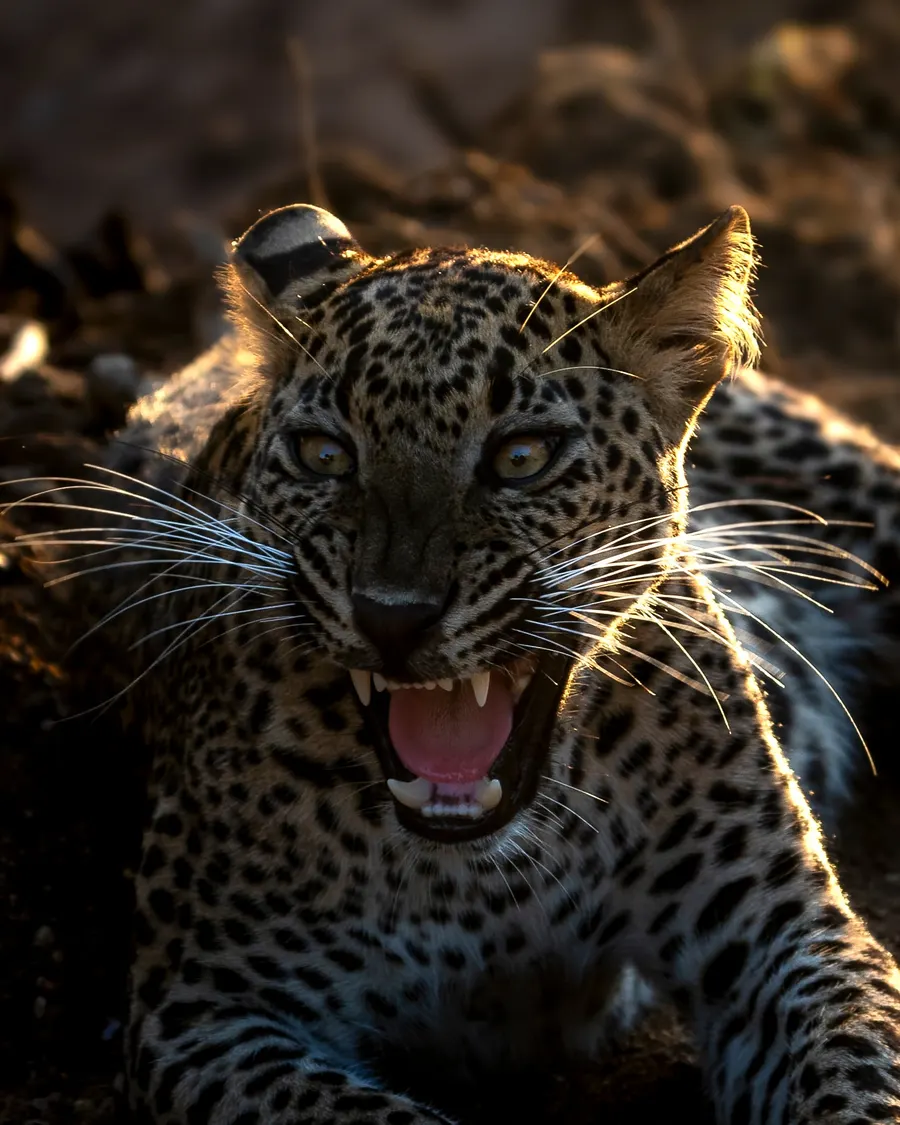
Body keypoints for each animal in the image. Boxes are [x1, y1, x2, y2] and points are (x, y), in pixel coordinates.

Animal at [14, 202, 900, 1124]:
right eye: (325, 453)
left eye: (523, 456)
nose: (392, 614)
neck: (495, 878)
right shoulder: (204, 1009)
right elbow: (366, 1112)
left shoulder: (784, 932)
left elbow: (855, 1073)